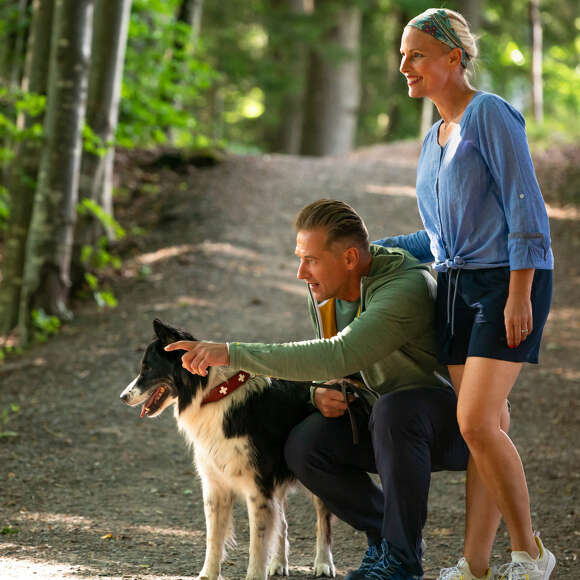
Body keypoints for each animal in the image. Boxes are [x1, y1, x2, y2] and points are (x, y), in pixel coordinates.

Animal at [119, 320, 336, 580]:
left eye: (147, 367)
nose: (122, 397)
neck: (213, 395)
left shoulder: (258, 487)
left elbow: (257, 542)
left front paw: (254, 575)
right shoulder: (215, 485)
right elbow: (214, 538)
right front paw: (208, 574)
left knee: (322, 520)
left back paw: (323, 563)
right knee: (282, 523)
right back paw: (278, 563)